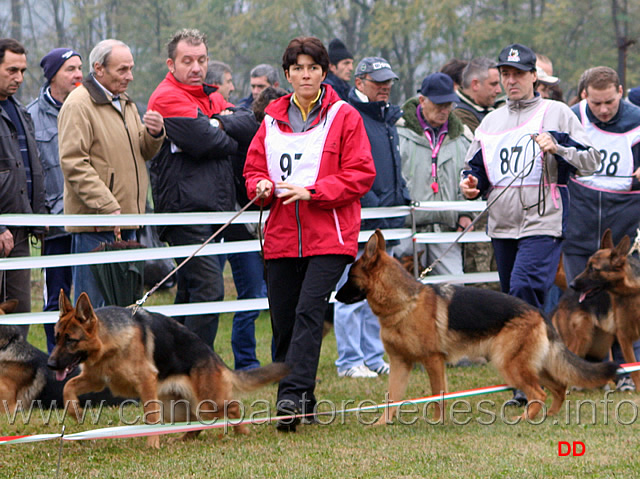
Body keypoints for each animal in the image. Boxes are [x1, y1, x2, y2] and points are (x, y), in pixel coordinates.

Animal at [48, 290, 288, 448]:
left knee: (233, 407)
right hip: (177, 409)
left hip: (206, 403)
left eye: (71, 340)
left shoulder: (146, 382)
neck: (109, 343)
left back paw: (242, 431)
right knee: (198, 422)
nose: (50, 365)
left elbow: (151, 417)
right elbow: (68, 387)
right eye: (57, 337)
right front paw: (74, 411)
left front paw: (152, 444)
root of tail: (216, 359)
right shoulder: (96, 379)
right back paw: (182, 439)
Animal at [338, 232, 616, 424]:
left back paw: (525, 419)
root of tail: (537, 312)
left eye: (350, 277)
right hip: (535, 365)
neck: (405, 303)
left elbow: (437, 394)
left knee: (540, 392)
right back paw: (549, 416)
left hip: (510, 364)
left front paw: (437, 422)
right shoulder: (400, 364)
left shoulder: (433, 361)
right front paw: (382, 423)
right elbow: (392, 397)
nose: (335, 296)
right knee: (559, 387)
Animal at [552, 227, 640, 388]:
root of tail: (561, 302)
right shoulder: (624, 336)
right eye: (587, 266)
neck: (632, 290)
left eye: (593, 269)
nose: (572, 285)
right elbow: (635, 370)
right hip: (581, 340)